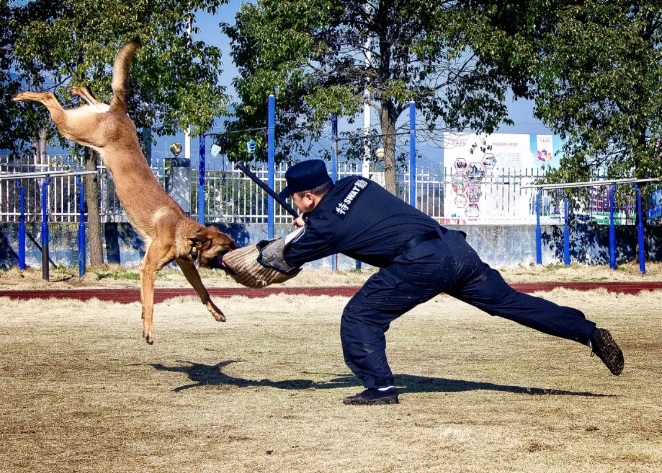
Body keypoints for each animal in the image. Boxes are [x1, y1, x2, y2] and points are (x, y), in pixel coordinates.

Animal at [13, 39, 237, 342]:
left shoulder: (186, 266)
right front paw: (148, 329)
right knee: (49, 97)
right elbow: (151, 301)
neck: (181, 228)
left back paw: (76, 89)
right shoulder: (149, 269)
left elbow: (201, 291)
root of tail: (119, 113)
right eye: (228, 247)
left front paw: (216, 311)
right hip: (75, 130)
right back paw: (23, 95)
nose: (242, 258)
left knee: (91, 97)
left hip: (89, 125)